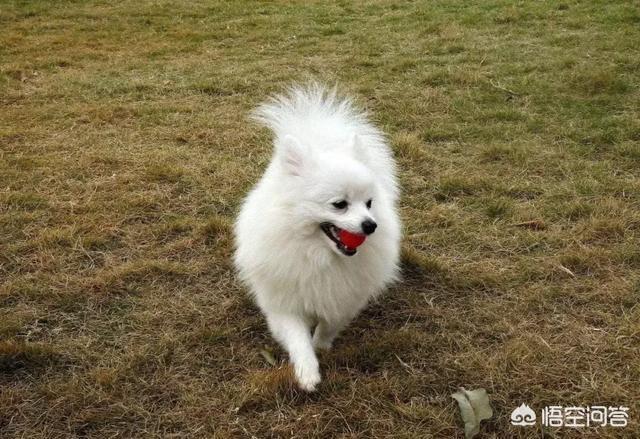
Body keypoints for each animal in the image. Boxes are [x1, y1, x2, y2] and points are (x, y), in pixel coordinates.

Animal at [235, 83, 400, 392]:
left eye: (369, 203)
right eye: (340, 204)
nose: (370, 225)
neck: (319, 255)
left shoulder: (344, 299)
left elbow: (327, 326)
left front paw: (321, 347)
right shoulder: (283, 301)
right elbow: (297, 338)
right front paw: (308, 372)